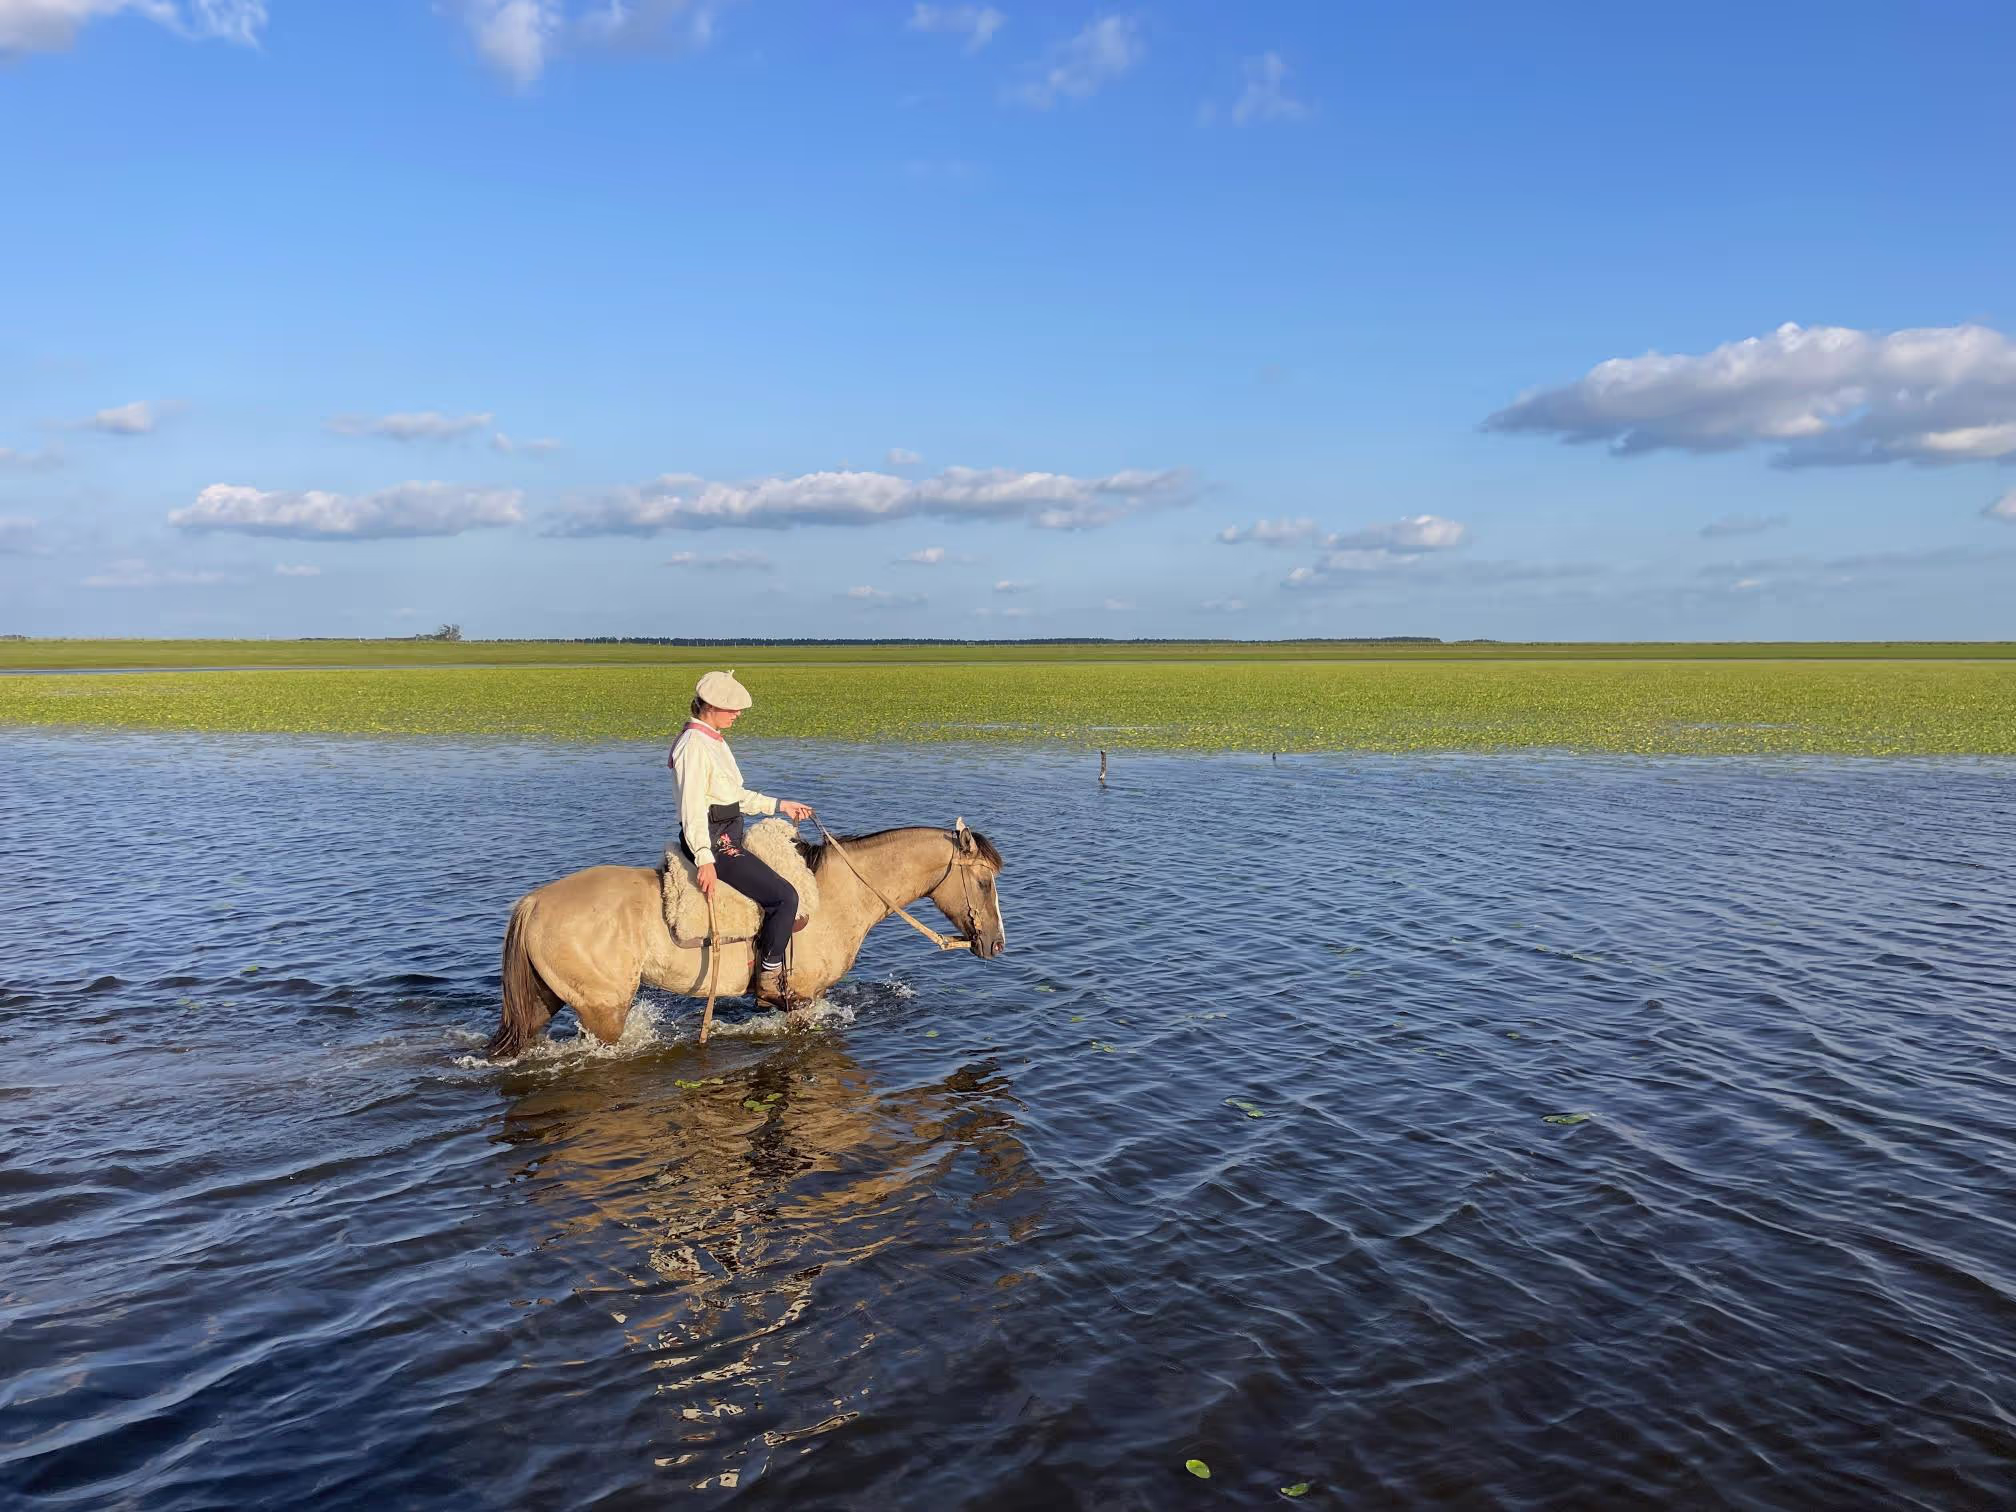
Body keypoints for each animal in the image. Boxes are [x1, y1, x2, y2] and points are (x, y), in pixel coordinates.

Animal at [485, 821, 1006, 1059]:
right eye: (984, 882)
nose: (997, 944)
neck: (838, 894)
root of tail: (532, 902)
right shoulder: (801, 1000)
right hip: (603, 1011)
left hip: (546, 1000)